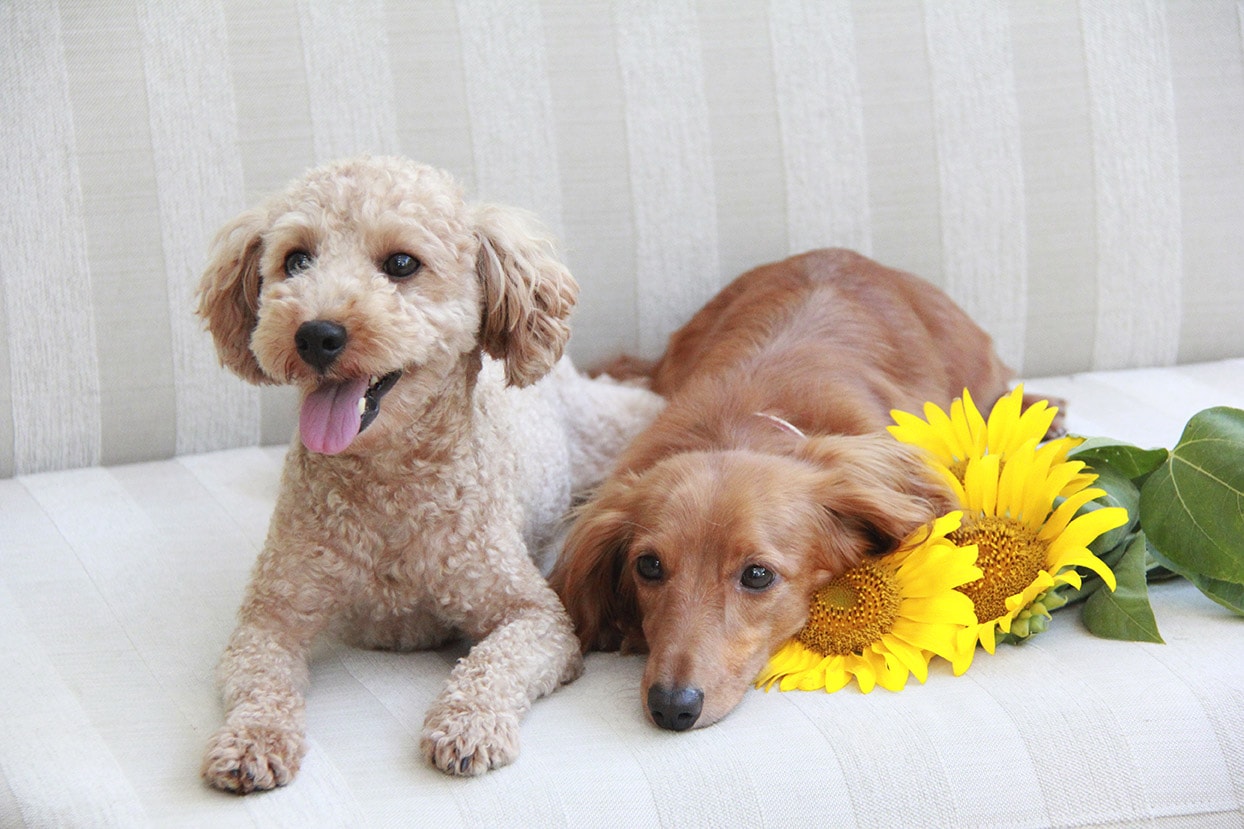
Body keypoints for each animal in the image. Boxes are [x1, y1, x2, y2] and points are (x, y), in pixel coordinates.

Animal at [195, 156, 661, 786]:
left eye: (401, 264)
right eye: (295, 260)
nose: (316, 334)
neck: (390, 485)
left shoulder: (535, 615)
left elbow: (494, 662)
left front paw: (468, 726)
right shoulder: (271, 615)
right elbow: (259, 679)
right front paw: (251, 741)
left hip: (606, 426)